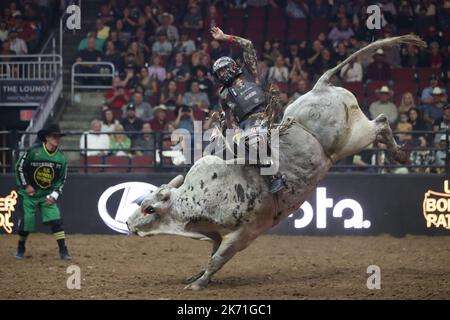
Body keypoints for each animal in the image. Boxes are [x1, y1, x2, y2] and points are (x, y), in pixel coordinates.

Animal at [126, 35, 426, 290]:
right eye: (142, 202)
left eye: (149, 209)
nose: (128, 224)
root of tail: (320, 86)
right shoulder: (218, 234)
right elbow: (212, 257)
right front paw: (196, 276)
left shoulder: (245, 233)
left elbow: (217, 259)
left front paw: (198, 284)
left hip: (352, 139)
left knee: (381, 123)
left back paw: (399, 154)